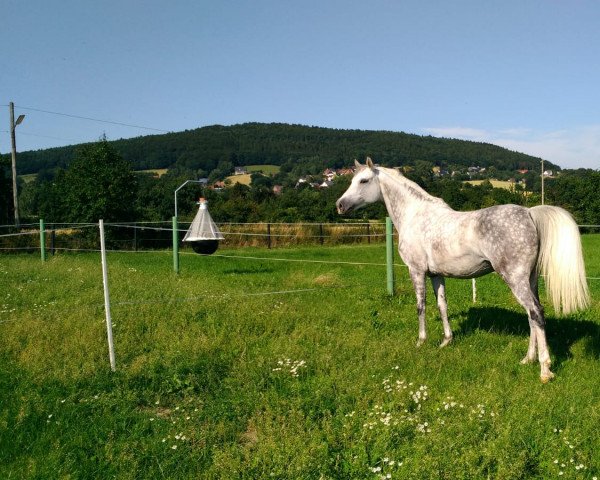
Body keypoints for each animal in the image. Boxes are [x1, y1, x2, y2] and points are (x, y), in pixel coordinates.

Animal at [338, 158, 592, 382]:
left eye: (363, 180)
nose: (340, 205)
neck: (415, 216)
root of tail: (529, 213)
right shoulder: (436, 274)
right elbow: (442, 305)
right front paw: (446, 341)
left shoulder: (416, 271)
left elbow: (421, 306)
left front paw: (421, 341)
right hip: (529, 280)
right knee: (532, 317)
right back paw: (527, 359)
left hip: (514, 278)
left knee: (536, 313)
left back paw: (544, 369)